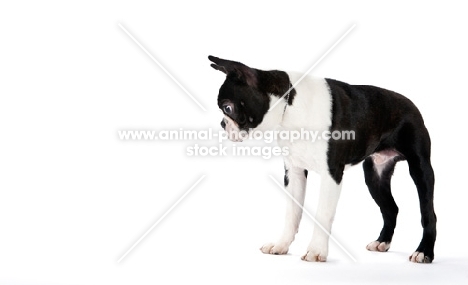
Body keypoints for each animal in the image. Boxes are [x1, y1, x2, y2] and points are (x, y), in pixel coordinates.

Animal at [208, 55, 436, 262]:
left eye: (227, 108)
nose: (222, 123)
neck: (290, 106)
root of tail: (411, 103)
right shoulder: (294, 172)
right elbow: (291, 214)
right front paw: (281, 245)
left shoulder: (331, 174)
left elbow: (322, 214)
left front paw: (316, 251)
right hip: (375, 176)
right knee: (390, 209)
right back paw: (382, 241)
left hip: (420, 169)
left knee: (428, 212)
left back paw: (424, 252)